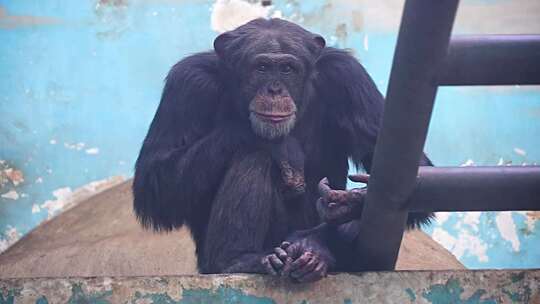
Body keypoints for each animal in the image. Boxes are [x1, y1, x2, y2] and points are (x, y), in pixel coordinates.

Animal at [134, 18, 434, 282]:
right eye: (262, 67)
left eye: (287, 69)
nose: (275, 90)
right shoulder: (188, 83)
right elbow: (156, 180)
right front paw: (280, 145)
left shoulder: (348, 77)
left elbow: (411, 175)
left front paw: (349, 202)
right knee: (253, 156)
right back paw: (240, 259)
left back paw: (315, 249)